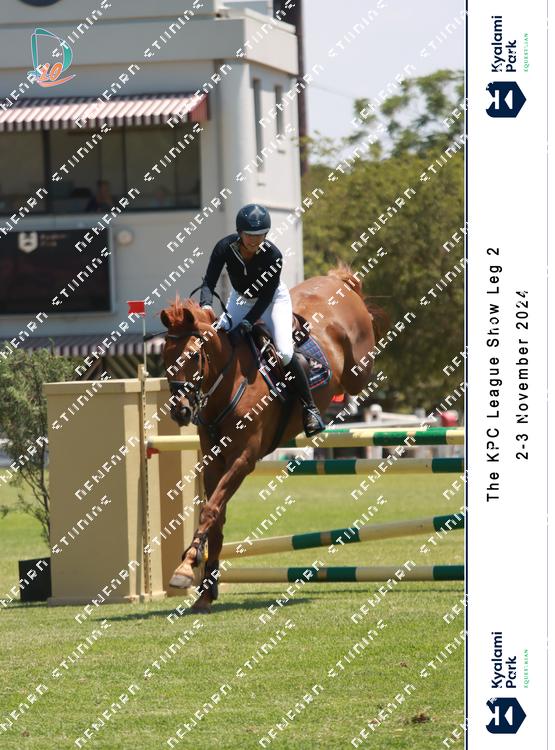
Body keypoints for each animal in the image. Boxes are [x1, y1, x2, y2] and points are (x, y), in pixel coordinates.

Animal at [160, 263, 381, 612]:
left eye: (194, 356)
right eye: (165, 356)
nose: (180, 411)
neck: (228, 382)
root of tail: (335, 281)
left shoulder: (243, 458)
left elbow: (210, 510)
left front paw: (185, 567)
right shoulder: (213, 461)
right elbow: (216, 515)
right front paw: (205, 590)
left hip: (358, 368)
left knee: (360, 371)